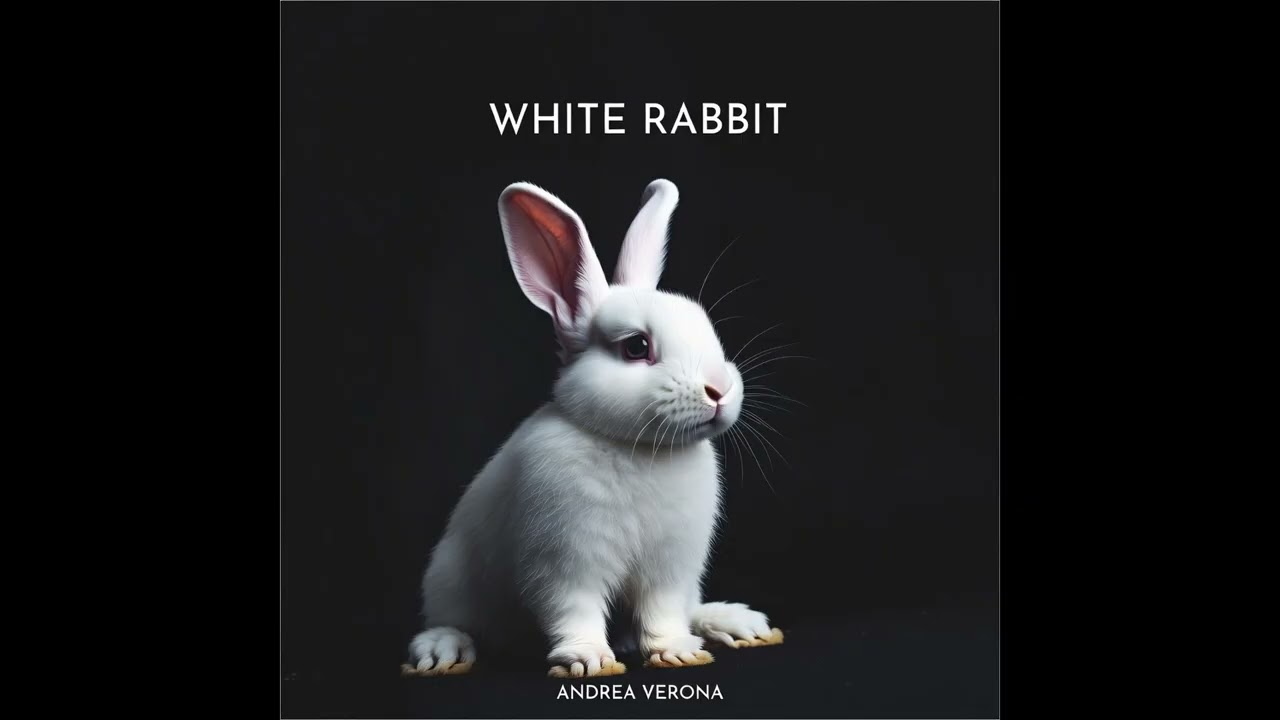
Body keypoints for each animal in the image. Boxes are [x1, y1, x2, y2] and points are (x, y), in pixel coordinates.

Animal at [401, 179, 784, 680]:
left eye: (708, 331)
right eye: (637, 347)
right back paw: (440, 651)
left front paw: (677, 652)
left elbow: (662, 613)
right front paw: (588, 660)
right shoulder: (565, 561)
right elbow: (574, 610)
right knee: (453, 620)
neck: (638, 448)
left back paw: (736, 623)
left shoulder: (670, 567)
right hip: (450, 576)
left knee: (689, 607)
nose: (719, 390)